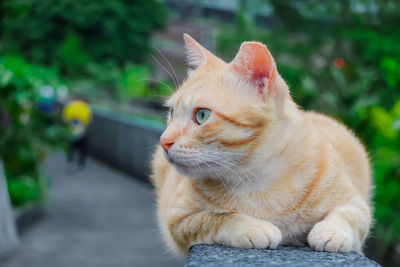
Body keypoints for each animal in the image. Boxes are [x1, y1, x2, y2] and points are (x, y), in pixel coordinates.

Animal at [151, 34, 372, 258]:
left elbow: (346, 214)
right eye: (171, 112)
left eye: (202, 115)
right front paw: (252, 227)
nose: (164, 141)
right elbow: (217, 218)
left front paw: (331, 232)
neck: (257, 179)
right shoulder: (179, 220)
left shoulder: (358, 205)